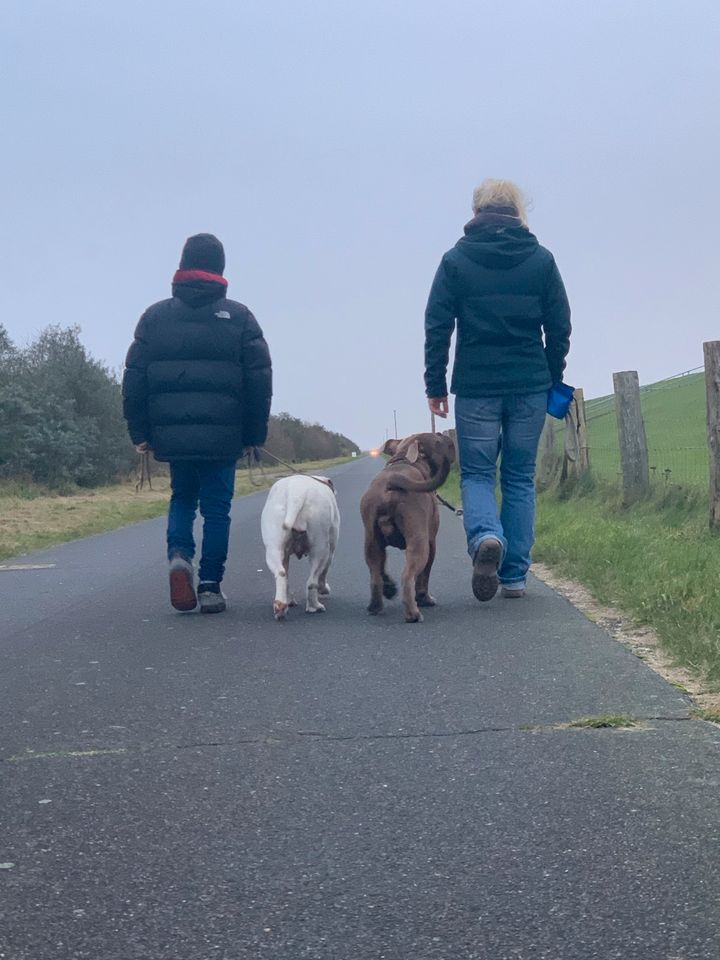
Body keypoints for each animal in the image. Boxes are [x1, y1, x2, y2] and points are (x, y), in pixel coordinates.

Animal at [262, 474, 340, 624]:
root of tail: (296, 493)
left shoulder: (285, 555)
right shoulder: (331, 552)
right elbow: (324, 573)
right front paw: (324, 589)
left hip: (274, 548)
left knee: (281, 573)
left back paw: (281, 605)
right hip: (320, 549)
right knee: (312, 581)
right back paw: (315, 606)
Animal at [360, 434, 456, 624]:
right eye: (438, 440)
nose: (448, 438)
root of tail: (389, 485)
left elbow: (382, 568)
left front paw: (389, 588)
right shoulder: (431, 542)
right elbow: (424, 576)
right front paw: (424, 599)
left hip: (371, 542)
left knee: (375, 575)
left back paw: (375, 606)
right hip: (419, 545)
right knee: (408, 576)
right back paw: (413, 613)